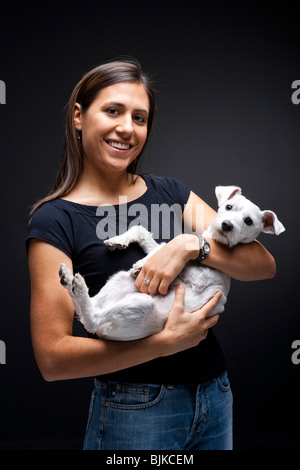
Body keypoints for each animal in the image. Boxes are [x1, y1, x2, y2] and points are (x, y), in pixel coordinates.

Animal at [59, 185, 286, 342]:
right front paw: (119, 241)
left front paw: (142, 264)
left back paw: (77, 286)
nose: (227, 225)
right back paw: (70, 281)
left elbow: (166, 248)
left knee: (92, 319)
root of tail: (104, 332)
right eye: (228, 207)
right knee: (90, 307)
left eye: (248, 221)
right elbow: (145, 234)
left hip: (141, 304)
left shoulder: (199, 279)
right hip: (120, 281)